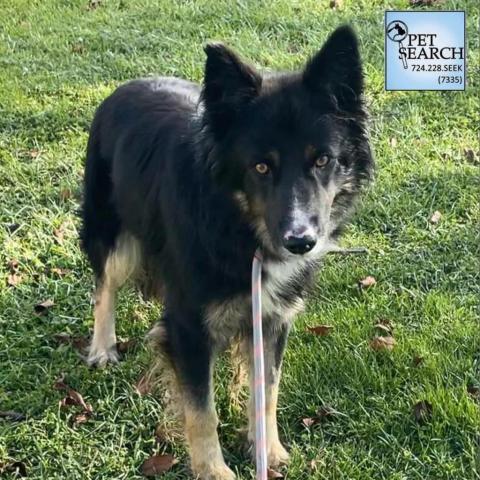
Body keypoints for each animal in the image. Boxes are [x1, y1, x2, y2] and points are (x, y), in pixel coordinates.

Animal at [81, 27, 376, 480]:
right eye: (261, 167)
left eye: (323, 160)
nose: (300, 242)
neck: (238, 225)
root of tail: (126, 87)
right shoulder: (188, 328)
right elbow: (201, 412)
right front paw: (213, 470)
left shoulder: (272, 317)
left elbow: (267, 389)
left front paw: (267, 449)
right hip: (114, 234)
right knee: (104, 288)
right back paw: (102, 348)